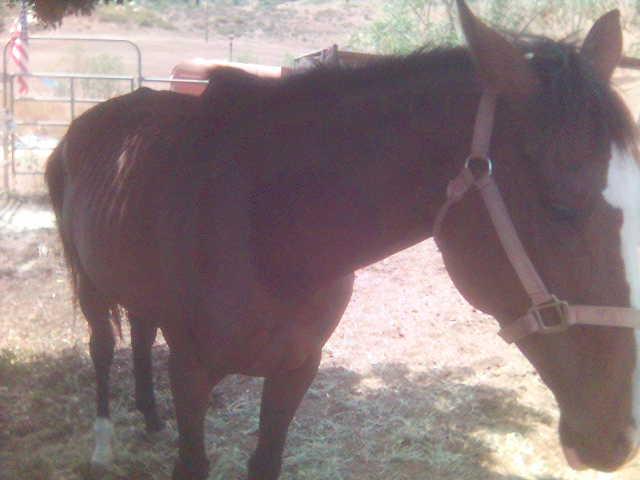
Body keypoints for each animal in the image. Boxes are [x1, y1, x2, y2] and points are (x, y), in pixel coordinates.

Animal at [45, 1, 640, 478]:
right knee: (103, 348)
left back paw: (148, 414)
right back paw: (102, 445)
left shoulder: (295, 369)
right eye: (561, 208)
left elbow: (265, 460)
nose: (617, 434)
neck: (264, 224)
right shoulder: (190, 372)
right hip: (89, 284)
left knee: (142, 331)